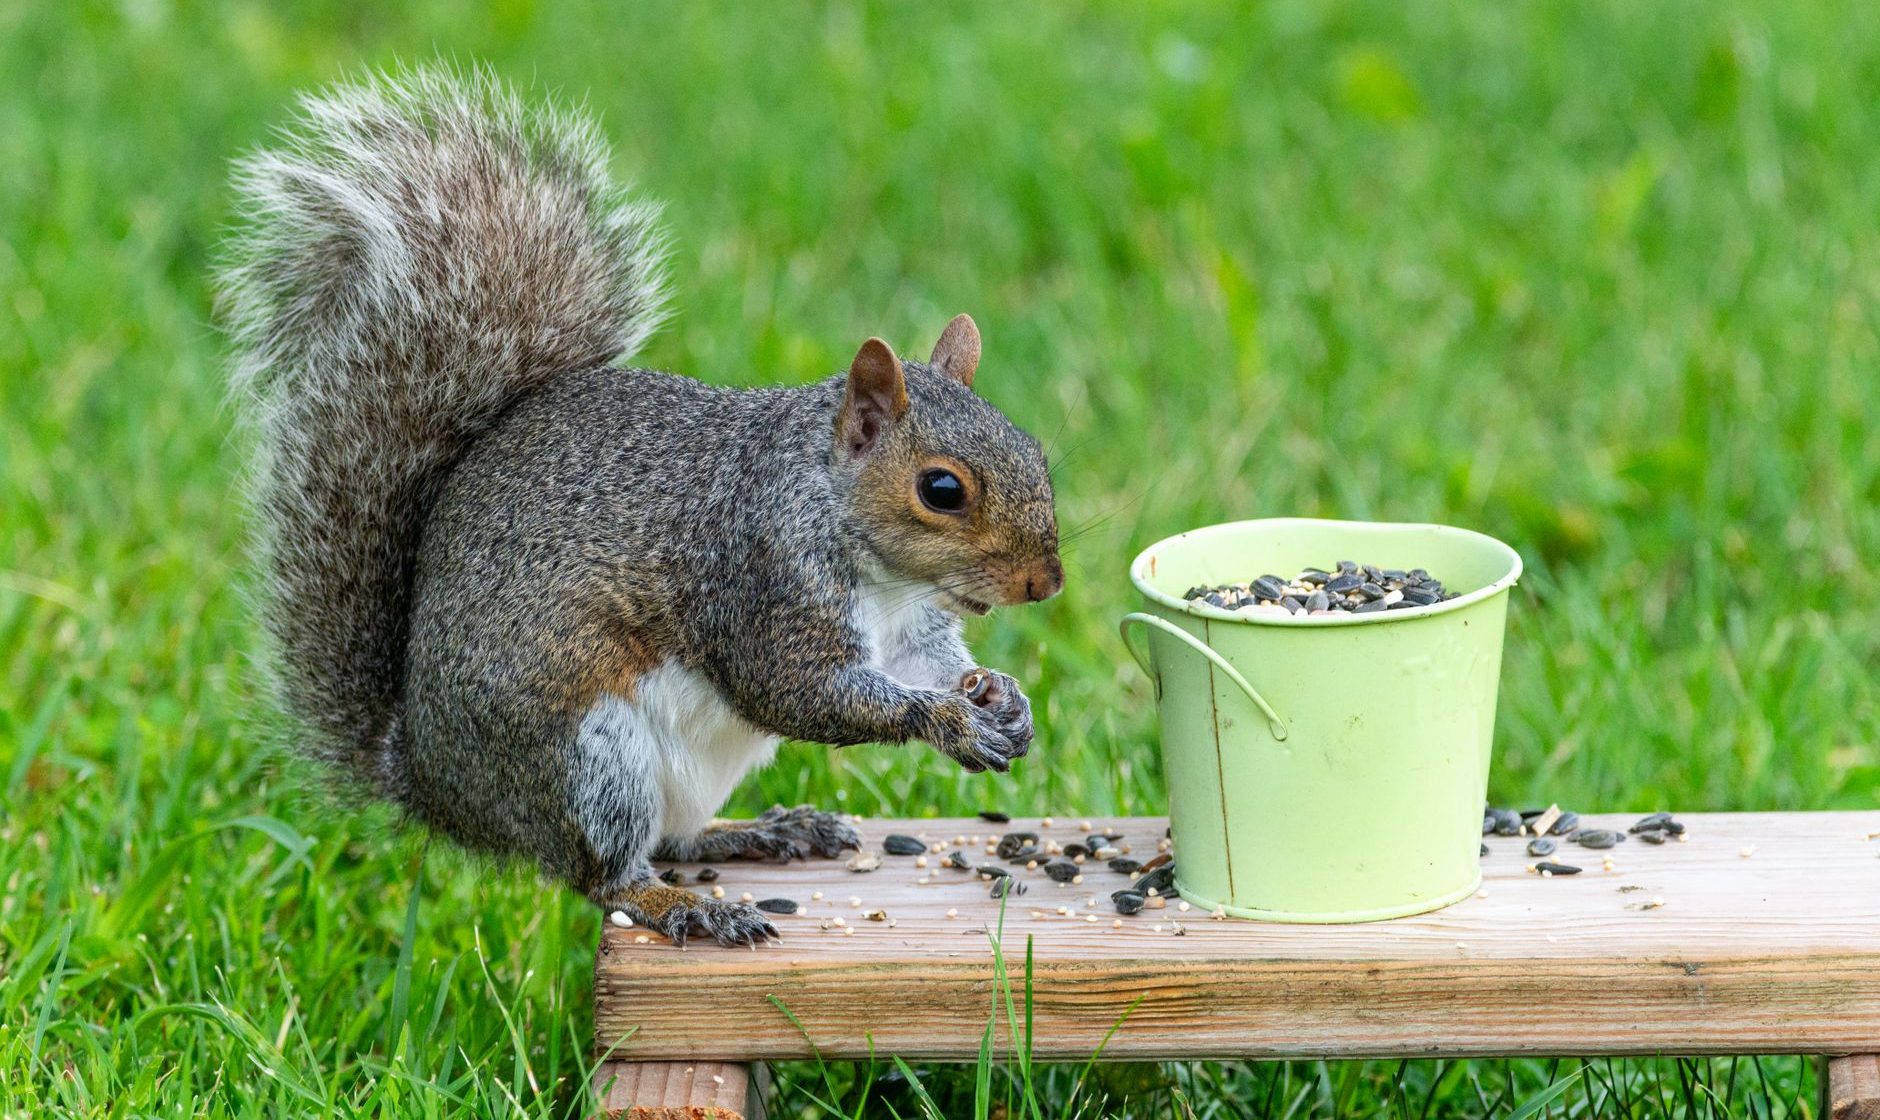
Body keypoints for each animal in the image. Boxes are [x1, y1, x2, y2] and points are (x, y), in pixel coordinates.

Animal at [218, 67, 1062, 946]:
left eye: (1034, 450)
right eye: (942, 490)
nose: (1047, 583)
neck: (880, 569)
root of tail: (437, 784)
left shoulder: (907, 626)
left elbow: (925, 663)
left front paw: (1002, 698)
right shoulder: (758, 579)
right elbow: (799, 691)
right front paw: (953, 722)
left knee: (676, 837)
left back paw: (768, 832)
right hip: (590, 760)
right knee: (607, 876)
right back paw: (686, 905)